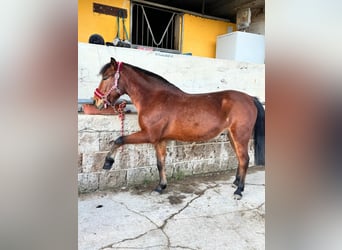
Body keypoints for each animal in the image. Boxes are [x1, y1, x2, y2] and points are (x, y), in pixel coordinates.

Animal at [93, 57, 264, 199]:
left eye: (105, 77)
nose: (96, 101)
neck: (154, 98)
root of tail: (250, 98)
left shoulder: (149, 135)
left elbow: (119, 139)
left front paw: (108, 162)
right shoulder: (160, 140)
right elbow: (160, 163)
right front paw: (160, 187)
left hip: (240, 136)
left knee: (244, 159)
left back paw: (239, 191)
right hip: (231, 136)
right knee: (240, 159)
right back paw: (236, 183)